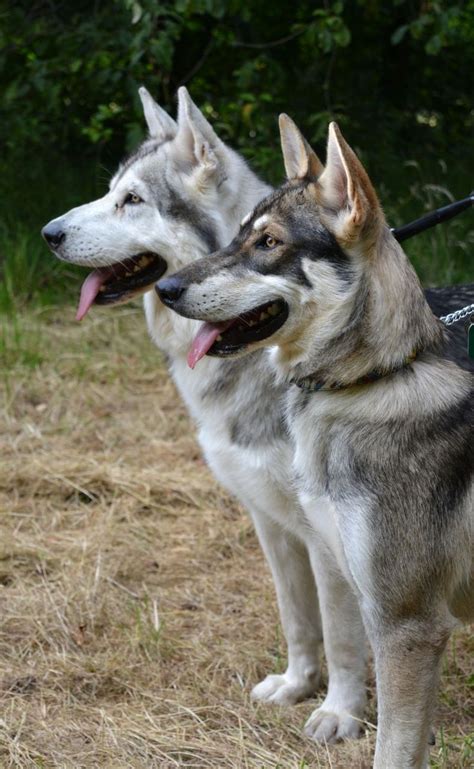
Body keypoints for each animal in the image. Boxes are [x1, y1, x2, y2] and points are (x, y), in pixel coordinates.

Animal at [42, 87, 472, 740]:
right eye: (110, 190)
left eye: (132, 200)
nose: (48, 233)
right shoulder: (268, 519)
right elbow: (297, 620)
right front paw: (298, 686)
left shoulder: (329, 545)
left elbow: (342, 637)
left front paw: (338, 712)